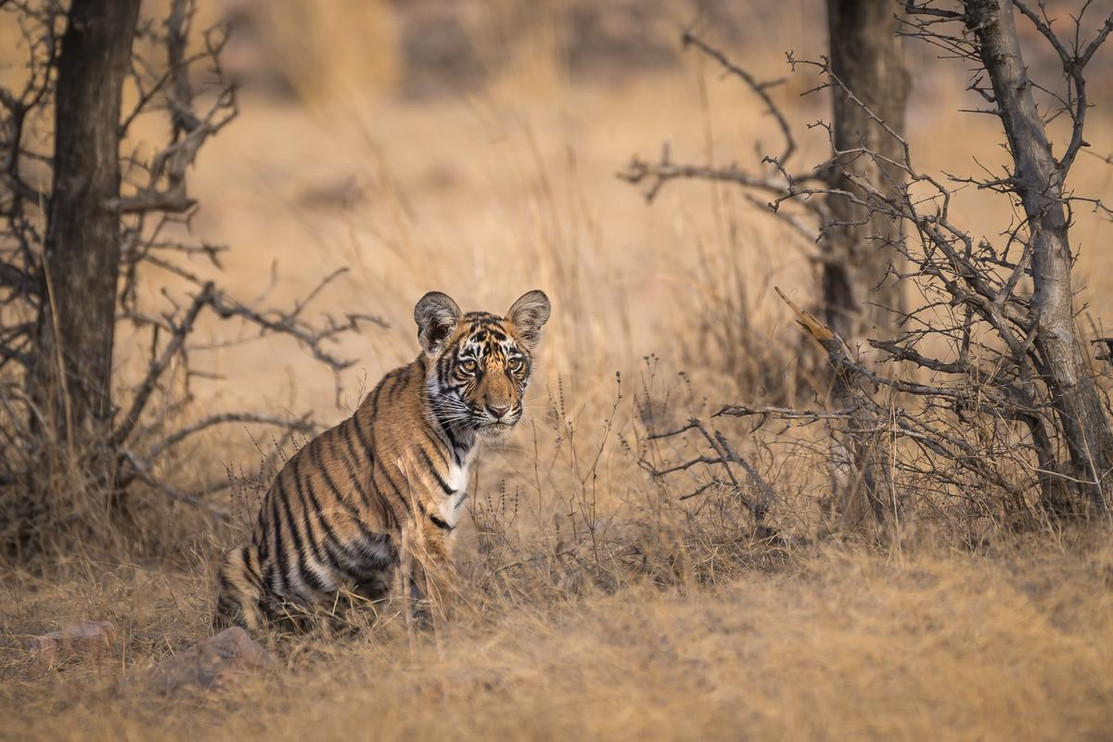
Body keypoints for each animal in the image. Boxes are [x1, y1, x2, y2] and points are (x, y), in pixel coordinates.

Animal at [213, 290, 551, 632]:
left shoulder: (442, 522)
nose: (499, 410)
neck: (460, 437)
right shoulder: (421, 524)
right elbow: (445, 587)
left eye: (513, 364)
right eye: (470, 366)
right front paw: (463, 629)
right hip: (237, 560)